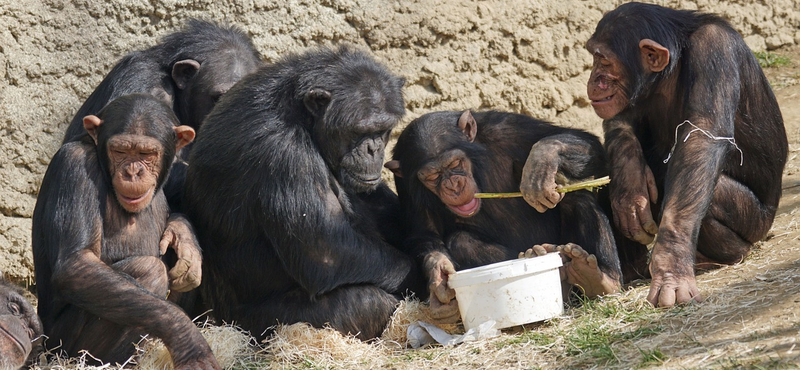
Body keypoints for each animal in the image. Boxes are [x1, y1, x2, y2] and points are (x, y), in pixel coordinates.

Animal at [32, 94, 219, 368]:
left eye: (146, 153)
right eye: (120, 151)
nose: (133, 171)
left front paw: (185, 239)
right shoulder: (74, 165)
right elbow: (76, 265)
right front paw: (187, 339)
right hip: (60, 345)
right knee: (150, 270)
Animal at [184, 45, 422, 342]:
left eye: (383, 129)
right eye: (359, 130)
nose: (373, 148)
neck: (303, 118)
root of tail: (217, 318)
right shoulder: (285, 155)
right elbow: (327, 250)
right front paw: (419, 275)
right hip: (256, 325)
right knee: (366, 302)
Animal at [388, 110, 624, 324]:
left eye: (455, 164)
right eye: (432, 177)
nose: (453, 185)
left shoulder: (506, 128)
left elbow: (588, 144)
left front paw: (543, 160)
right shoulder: (405, 183)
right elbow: (424, 233)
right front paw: (439, 276)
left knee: (577, 196)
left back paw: (600, 278)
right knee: (461, 241)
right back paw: (540, 258)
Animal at [580, 2, 788, 308]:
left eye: (603, 60)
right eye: (594, 57)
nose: (594, 79)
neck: (670, 71)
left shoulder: (714, 50)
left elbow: (702, 138)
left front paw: (671, 268)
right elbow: (622, 118)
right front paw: (630, 185)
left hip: (758, 223)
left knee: (709, 192)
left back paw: (724, 256)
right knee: (612, 179)